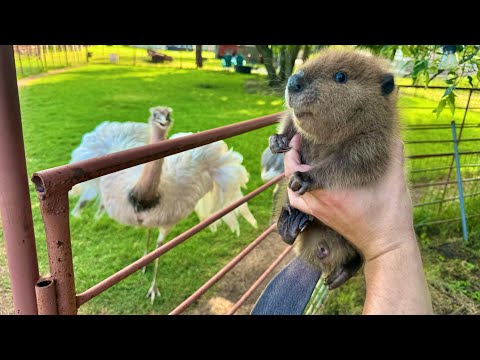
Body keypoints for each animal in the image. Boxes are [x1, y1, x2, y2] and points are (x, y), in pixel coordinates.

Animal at [270, 47, 402, 290]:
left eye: (341, 76)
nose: (294, 81)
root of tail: (322, 250)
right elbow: (292, 123)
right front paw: (277, 141)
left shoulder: (374, 145)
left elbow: (351, 167)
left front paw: (302, 178)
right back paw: (292, 223)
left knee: (358, 257)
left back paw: (339, 275)